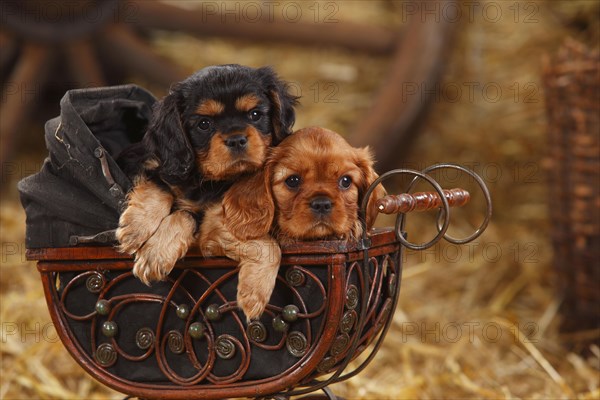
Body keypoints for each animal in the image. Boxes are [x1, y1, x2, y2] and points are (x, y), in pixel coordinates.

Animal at [116, 65, 298, 284]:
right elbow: (158, 183)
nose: (236, 140)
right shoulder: (142, 160)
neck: (207, 178)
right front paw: (136, 227)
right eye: (204, 124)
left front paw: (155, 252)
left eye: (255, 114)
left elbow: (187, 215)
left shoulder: (216, 218)